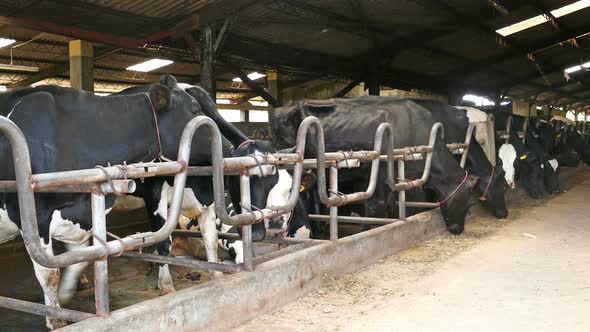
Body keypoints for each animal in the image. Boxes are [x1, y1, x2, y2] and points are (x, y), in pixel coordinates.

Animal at [270, 96, 484, 235]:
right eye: (470, 203)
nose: (458, 230)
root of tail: (280, 108)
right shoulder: (380, 171)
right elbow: (376, 206)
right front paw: (369, 230)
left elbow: (392, 202)